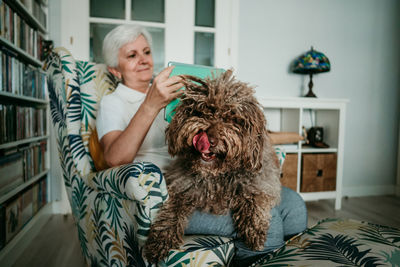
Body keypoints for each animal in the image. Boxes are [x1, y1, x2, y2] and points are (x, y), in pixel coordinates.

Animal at [144, 69, 282, 264]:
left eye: (230, 117)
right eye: (203, 111)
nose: (209, 138)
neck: (218, 176)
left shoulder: (261, 182)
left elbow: (256, 198)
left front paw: (254, 228)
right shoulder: (181, 186)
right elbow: (172, 210)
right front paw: (160, 241)